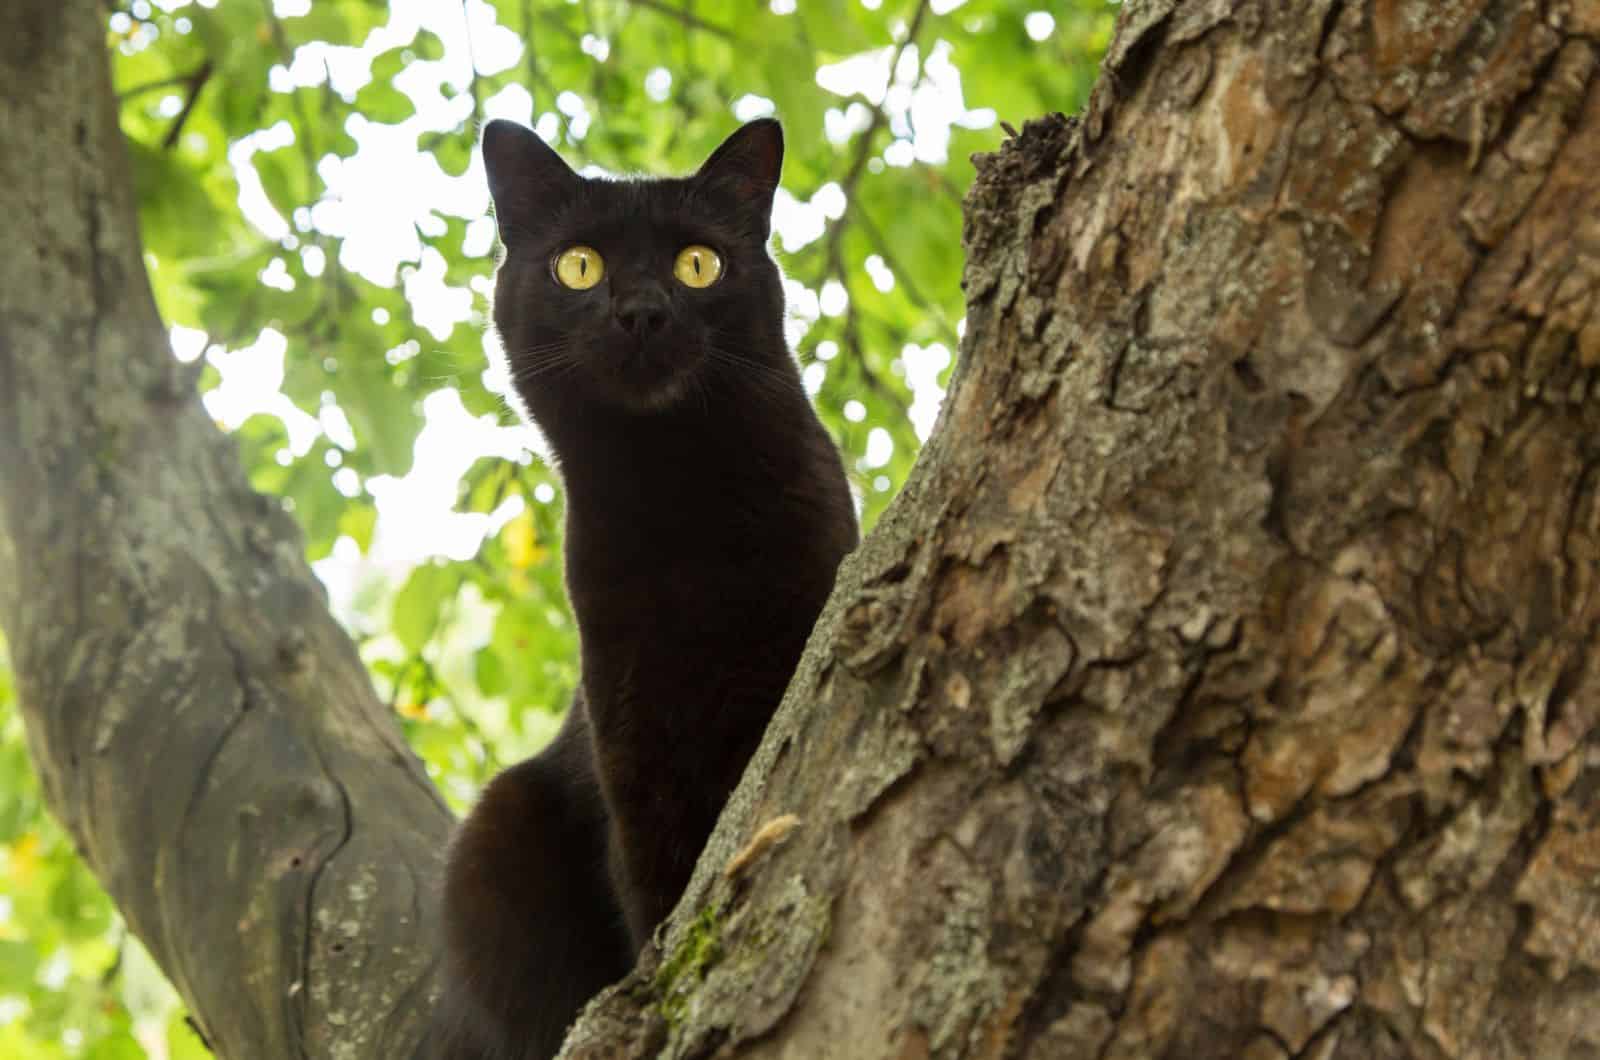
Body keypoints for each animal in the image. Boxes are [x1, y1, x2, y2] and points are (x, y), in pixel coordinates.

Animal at [422, 118, 851, 1060]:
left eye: (699, 264)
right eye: (579, 266)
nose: (642, 312)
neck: (678, 507)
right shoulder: (634, 744)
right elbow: (657, 886)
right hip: (495, 839)